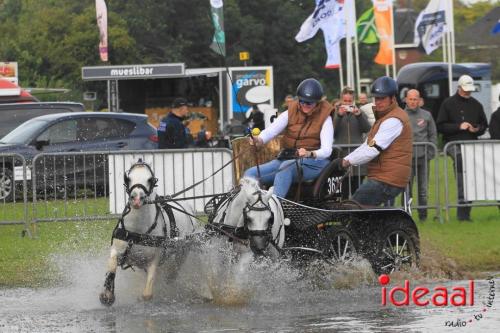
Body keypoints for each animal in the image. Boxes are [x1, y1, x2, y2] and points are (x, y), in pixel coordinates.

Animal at [98, 160, 200, 304]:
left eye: (150, 179)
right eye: (128, 178)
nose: (136, 199)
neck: (136, 232)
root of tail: (187, 207)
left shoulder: (154, 260)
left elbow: (148, 292)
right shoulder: (117, 249)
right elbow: (111, 266)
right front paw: (107, 295)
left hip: (183, 251)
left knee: (174, 269)